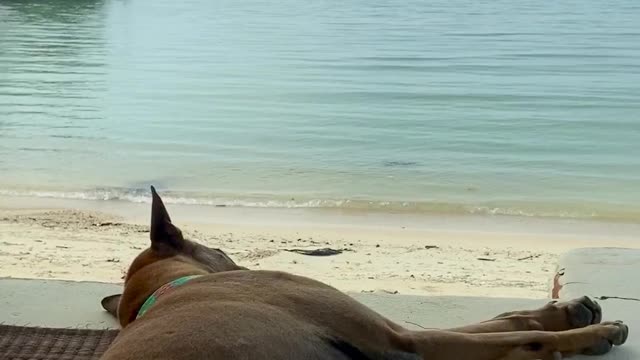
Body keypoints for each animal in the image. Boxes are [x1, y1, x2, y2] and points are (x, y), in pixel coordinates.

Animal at [101, 187, 632, 358]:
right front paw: (593, 332)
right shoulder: (398, 339)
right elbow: (505, 334)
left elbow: (501, 320)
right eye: (222, 249)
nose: (237, 260)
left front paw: (572, 309)